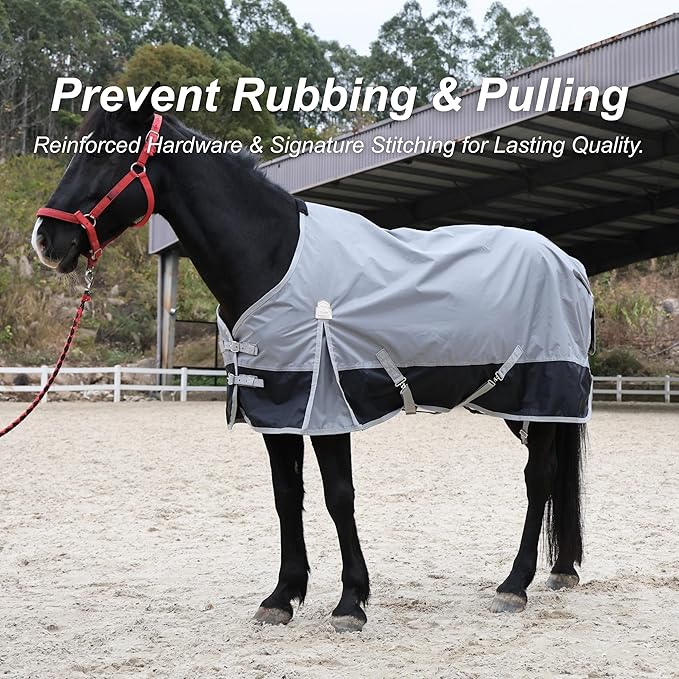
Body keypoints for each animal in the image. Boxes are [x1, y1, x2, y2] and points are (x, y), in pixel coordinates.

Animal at [31, 96, 588, 632]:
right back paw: (559, 571)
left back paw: (514, 586)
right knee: (551, 475)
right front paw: (282, 597)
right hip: (520, 405)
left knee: (538, 478)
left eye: (106, 155)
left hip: (542, 395)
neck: (272, 256)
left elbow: (338, 496)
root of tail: (569, 262)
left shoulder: (326, 407)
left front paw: (350, 603)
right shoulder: (278, 407)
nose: (45, 240)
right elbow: (286, 496)